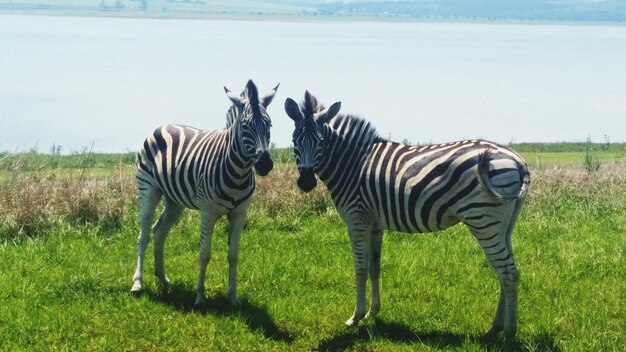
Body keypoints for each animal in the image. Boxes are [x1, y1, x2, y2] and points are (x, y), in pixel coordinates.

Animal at [130, 79, 278, 306]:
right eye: (245, 126)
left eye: (269, 125)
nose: (264, 164)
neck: (238, 173)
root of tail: (162, 126)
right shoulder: (208, 213)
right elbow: (204, 254)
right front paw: (200, 297)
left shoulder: (240, 214)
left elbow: (233, 255)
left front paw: (233, 298)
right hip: (148, 190)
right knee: (144, 235)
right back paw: (138, 284)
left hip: (174, 201)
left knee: (159, 232)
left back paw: (162, 279)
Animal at [286, 92, 528, 340]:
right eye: (294, 140)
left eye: (320, 141)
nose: (306, 182)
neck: (351, 165)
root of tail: (516, 160)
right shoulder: (374, 224)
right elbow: (374, 268)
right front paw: (373, 311)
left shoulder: (357, 220)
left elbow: (360, 270)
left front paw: (356, 316)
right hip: (503, 225)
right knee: (505, 272)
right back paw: (495, 328)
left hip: (484, 220)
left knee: (508, 273)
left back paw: (509, 333)